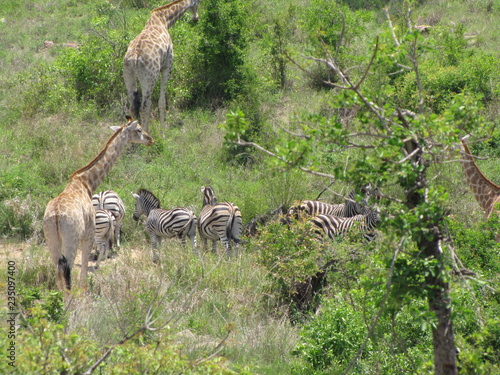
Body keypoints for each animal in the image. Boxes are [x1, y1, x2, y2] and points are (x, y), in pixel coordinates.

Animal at [43, 119, 152, 292]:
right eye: (139, 130)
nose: (150, 139)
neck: (86, 183)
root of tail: (56, 217)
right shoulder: (88, 235)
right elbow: (83, 275)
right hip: (71, 241)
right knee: (67, 276)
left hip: (52, 241)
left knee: (59, 277)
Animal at [123, 0, 201, 132]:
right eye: (198, 3)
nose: (196, 18)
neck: (164, 20)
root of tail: (134, 57)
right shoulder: (167, 66)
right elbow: (162, 102)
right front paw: (163, 132)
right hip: (149, 78)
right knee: (144, 107)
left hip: (128, 77)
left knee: (133, 108)